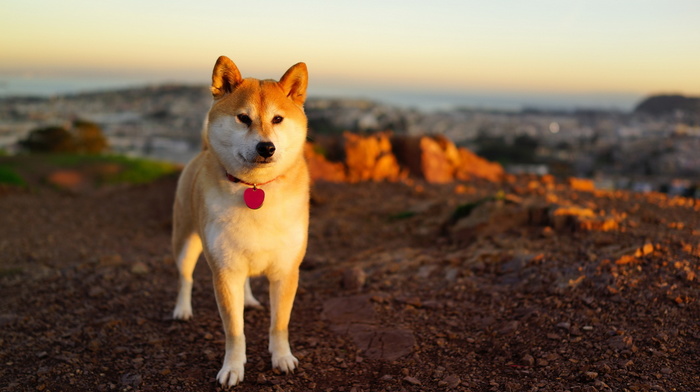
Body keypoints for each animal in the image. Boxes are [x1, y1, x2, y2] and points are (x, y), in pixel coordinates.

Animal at [170, 54, 308, 386]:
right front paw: (232, 368)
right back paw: (182, 309)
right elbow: (235, 330)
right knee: (185, 277)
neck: (255, 188)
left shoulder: (286, 270)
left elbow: (279, 324)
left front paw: (282, 358)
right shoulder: (225, 271)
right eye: (243, 118)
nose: (266, 147)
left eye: (278, 119)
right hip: (185, 243)